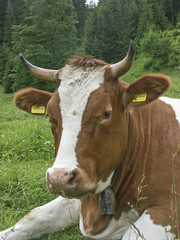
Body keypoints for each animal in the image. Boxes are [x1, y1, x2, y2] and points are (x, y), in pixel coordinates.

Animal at [0, 40, 180, 239]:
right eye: (50, 116)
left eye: (106, 113)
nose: (59, 179)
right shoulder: (80, 194)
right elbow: (34, 216)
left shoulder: (168, 210)